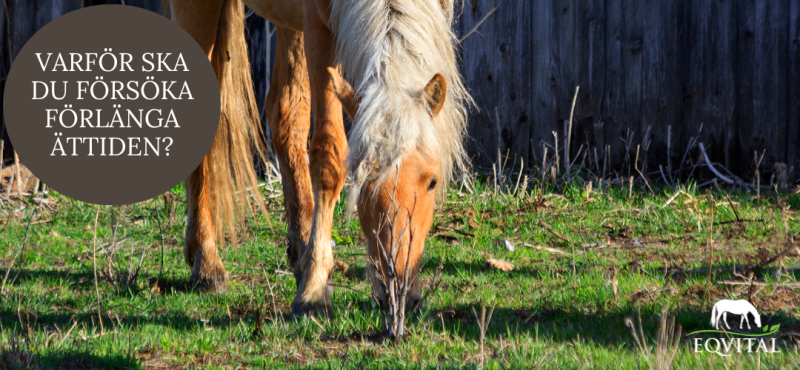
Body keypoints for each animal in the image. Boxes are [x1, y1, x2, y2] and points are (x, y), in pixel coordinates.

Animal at [167, 0, 468, 318]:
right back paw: (207, 264)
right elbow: (328, 154)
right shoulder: (320, 32)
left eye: (433, 182)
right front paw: (313, 291)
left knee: (285, 113)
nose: (399, 293)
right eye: (360, 182)